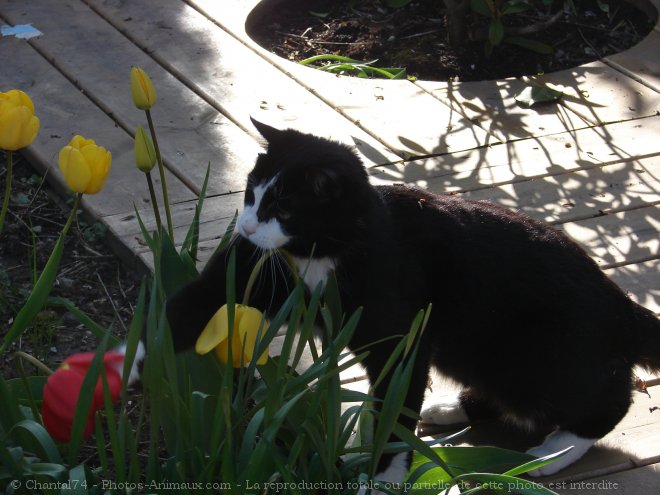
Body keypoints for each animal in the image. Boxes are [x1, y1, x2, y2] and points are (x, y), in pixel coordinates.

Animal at [164, 121, 660, 488]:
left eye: (283, 209)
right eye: (250, 194)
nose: (245, 228)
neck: (329, 254)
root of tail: (622, 305)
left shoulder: (402, 340)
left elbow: (396, 407)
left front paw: (382, 480)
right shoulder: (270, 275)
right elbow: (198, 301)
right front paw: (150, 351)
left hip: (533, 359)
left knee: (610, 400)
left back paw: (551, 453)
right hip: (474, 352)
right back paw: (451, 408)